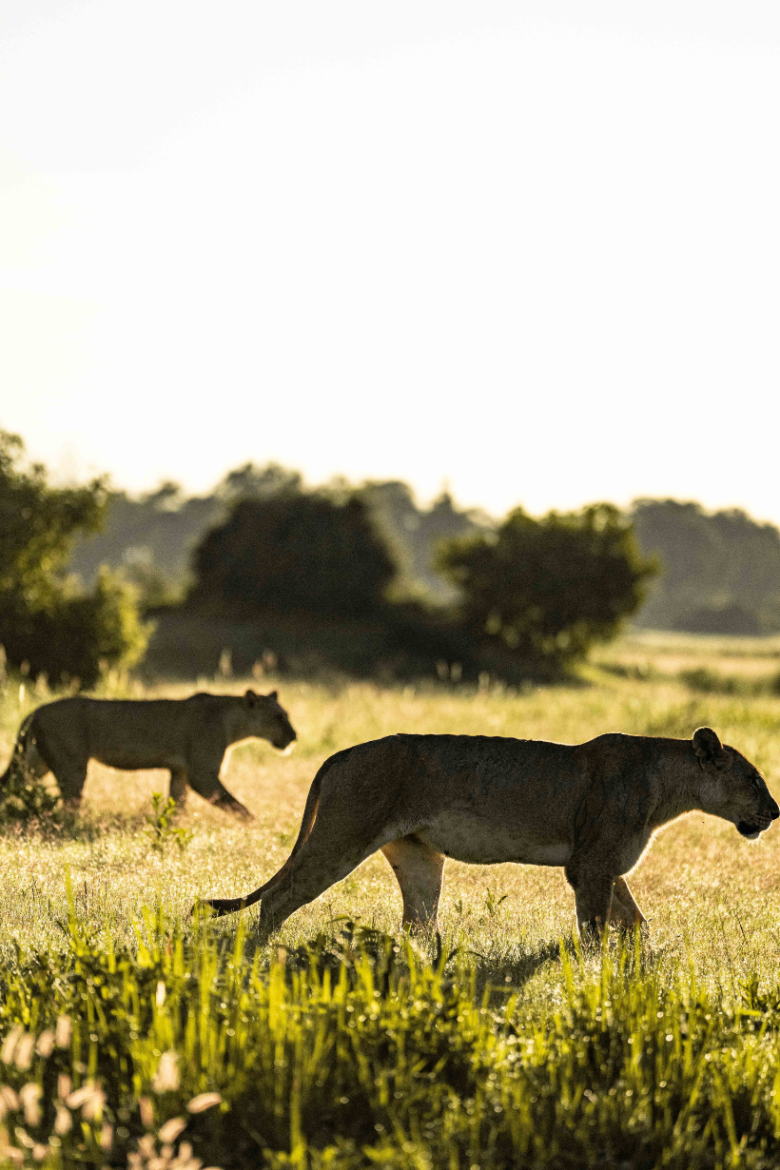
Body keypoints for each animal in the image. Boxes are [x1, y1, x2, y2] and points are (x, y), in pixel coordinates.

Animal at [0, 687, 297, 819]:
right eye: (278, 717)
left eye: (285, 715)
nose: (294, 736)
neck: (234, 724)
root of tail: (36, 711)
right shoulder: (202, 775)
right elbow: (237, 807)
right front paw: (257, 827)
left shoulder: (181, 771)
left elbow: (178, 804)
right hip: (71, 767)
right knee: (69, 807)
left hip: (34, 764)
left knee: (8, 786)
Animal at [203, 725, 780, 935]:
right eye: (753, 779)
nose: (775, 812)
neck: (668, 785)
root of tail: (342, 752)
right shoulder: (588, 866)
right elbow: (595, 931)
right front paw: (596, 983)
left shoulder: (607, 865)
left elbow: (636, 923)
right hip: (342, 838)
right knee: (277, 900)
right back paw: (258, 960)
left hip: (418, 856)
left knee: (417, 924)